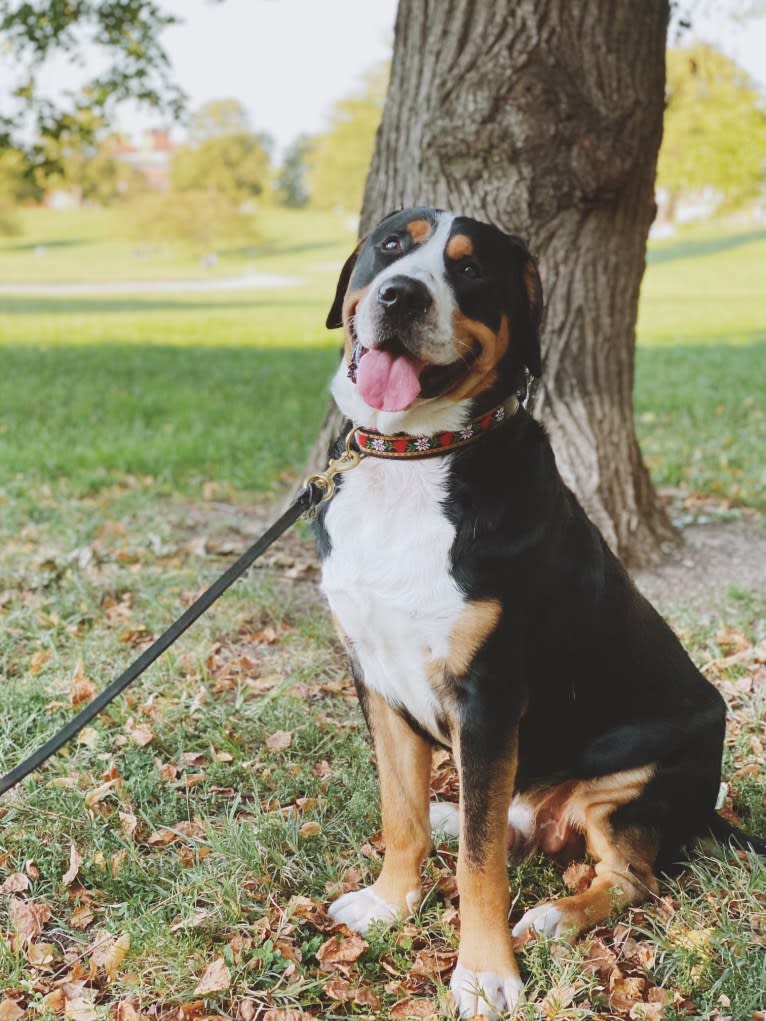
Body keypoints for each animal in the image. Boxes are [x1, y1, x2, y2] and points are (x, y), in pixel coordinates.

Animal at [310, 207, 763, 1021]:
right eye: (391, 245)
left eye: (470, 269)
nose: (400, 295)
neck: (415, 460)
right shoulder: (377, 677)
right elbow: (401, 815)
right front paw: (392, 902)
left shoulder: (488, 697)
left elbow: (480, 864)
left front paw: (484, 972)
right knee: (491, 822)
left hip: (626, 783)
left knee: (627, 874)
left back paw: (555, 914)